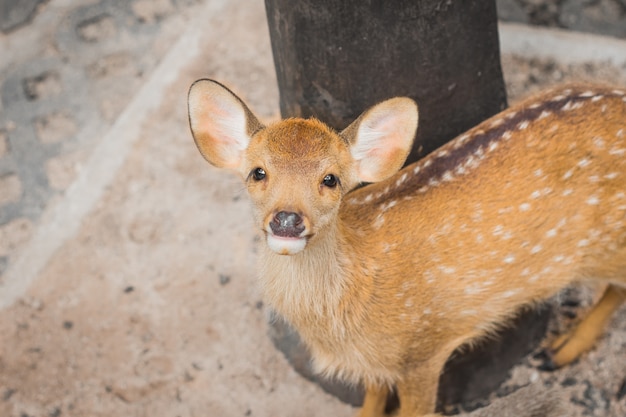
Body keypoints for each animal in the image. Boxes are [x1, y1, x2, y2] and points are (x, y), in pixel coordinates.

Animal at [188, 79, 624, 416]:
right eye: (257, 172)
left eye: (331, 179)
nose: (287, 219)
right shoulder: (375, 361)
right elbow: (373, 398)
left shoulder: (424, 348)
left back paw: (562, 349)